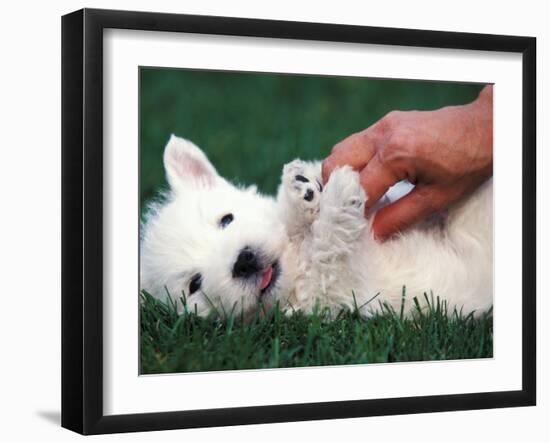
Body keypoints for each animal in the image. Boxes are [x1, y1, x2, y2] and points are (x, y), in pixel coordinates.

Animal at [140, 135, 494, 320]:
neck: (295, 263)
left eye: (226, 219)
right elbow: (330, 248)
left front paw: (303, 188)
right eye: (194, 284)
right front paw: (339, 193)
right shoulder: (341, 290)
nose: (243, 260)